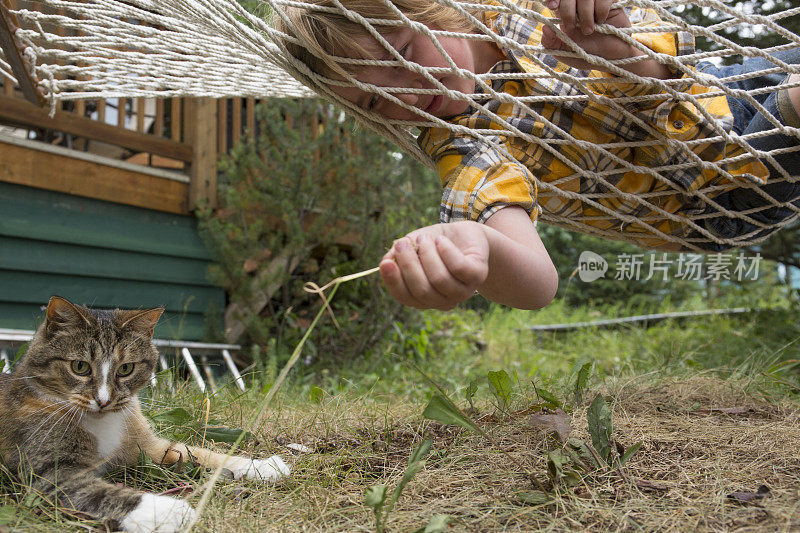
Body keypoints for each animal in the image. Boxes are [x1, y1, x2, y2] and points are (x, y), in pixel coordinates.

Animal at [0, 296, 288, 532]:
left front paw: (263, 466)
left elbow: (196, 452)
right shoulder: (48, 472)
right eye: (80, 367)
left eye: (126, 369)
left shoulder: (146, 445)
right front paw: (171, 510)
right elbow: (96, 493)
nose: (103, 400)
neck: (103, 422)